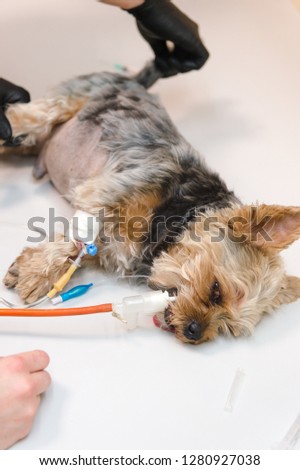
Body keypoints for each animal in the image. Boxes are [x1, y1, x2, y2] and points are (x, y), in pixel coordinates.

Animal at [1, 62, 300, 344]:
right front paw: (36, 274)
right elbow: (72, 240)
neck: (180, 214)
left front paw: (31, 266)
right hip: (61, 105)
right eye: (216, 290)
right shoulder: (107, 193)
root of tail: (134, 80)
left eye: (226, 326)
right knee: (29, 116)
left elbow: (81, 251)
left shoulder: (110, 244)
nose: (195, 332)